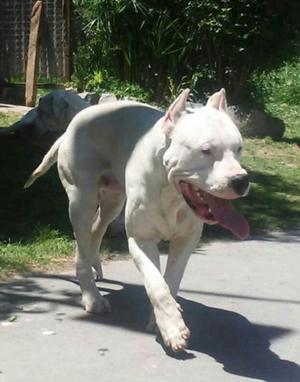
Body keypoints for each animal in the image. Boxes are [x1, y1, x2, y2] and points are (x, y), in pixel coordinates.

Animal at [25, 89, 248, 352]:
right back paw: (92, 296)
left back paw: (93, 265)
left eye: (239, 148)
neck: (171, 193)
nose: (241, 180)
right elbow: (157, 285)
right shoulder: (141, 240)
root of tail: (74, 123)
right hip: (82, 199)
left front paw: (162, 322)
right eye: (205, 150)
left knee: (95, 231)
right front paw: (173, 329)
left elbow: (170, 282)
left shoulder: (186, 240)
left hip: (113, 201)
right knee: (83, 235)